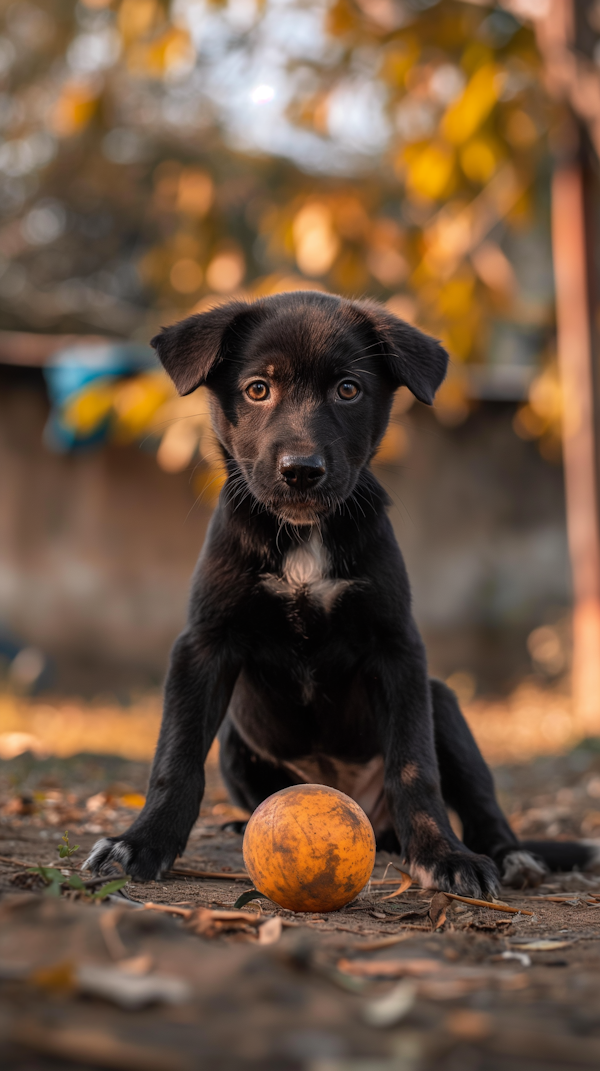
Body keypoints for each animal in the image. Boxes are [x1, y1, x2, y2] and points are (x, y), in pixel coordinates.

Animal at [86, 291, 595, 895]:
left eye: (348, 389)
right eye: (257, 389)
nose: (301, 471)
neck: (305, 536)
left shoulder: (398, 648)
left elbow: (415, 766)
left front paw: (444, 855)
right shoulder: (203, 644)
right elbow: (177, 757)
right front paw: (140, 843)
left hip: (443, 703)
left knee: (481, 801)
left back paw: (510, 855)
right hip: (236, 736)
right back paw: (237, 825)